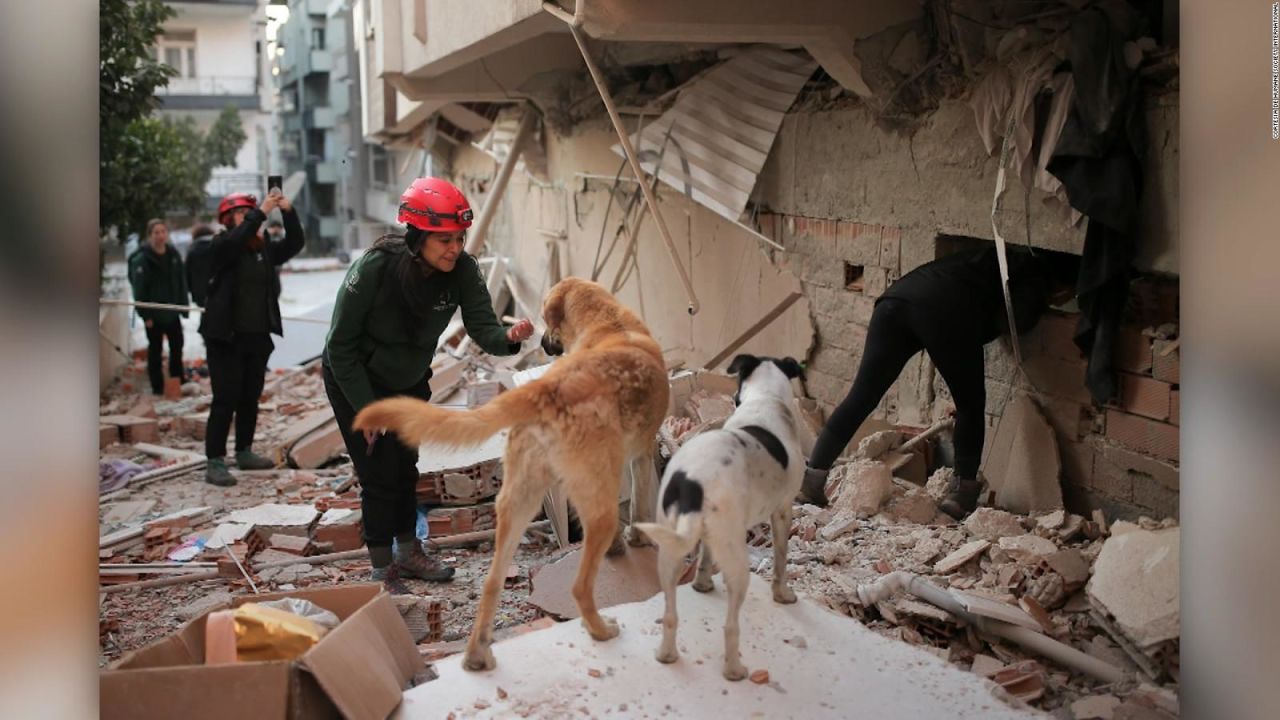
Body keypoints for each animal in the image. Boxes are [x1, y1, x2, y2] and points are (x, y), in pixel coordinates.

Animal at [350, 274, 670, 666]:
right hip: (595, 505)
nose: (543, 343)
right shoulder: (641, 453)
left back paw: (476, 655)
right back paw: (601, 628)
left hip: (519, 503)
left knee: (492, 582)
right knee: (580, 586)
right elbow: (640, 505)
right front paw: (637, 539)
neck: (608, 323)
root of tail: (545, 390)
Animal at [637, 353, 803, 676]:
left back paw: (666, 655)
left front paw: (702, 585)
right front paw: (783, 594)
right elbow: (781, 558)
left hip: (670, 551)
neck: (765, 397)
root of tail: (694, 481)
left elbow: (704, 558)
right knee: (730, 626)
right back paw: (734, 670)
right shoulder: (782, 510)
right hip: (737, 562)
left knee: (670, 614)